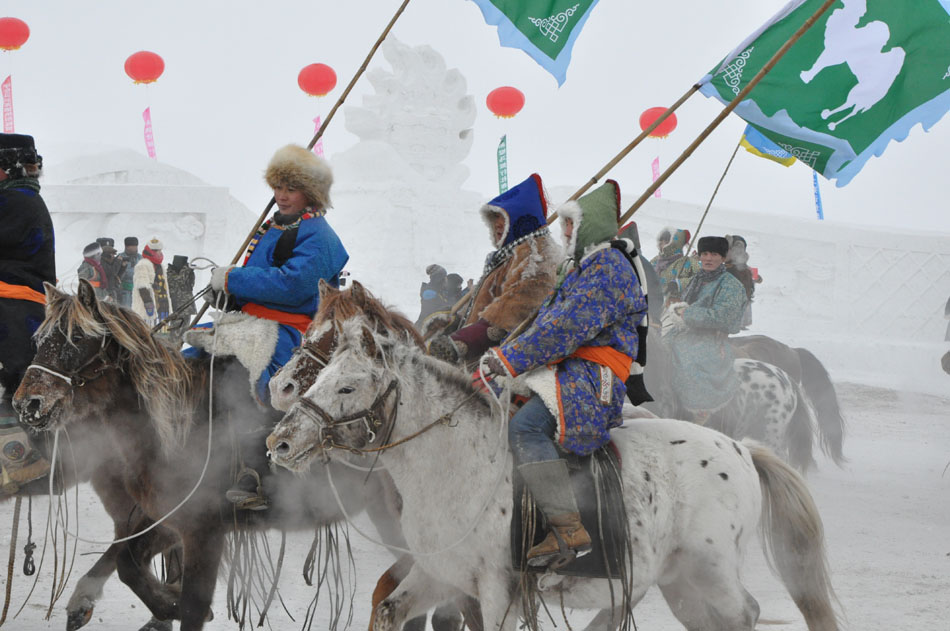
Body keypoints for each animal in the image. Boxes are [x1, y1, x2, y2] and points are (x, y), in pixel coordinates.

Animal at [13, 280, 410, 631]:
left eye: (77, 338)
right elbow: (128, 561)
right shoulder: (168, 519)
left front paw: (172, 605)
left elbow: (191, 605)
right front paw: (164, 603)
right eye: (40, 340)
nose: (26, 403)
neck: (175, 428)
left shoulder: (203, 531)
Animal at [266, 320, 840, 631]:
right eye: (322, 375)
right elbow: (388, 609)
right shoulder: (438, 575)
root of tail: (740, 450)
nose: (281, 442)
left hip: (711, 570)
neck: (454, 464)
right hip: (681, 582)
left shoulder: (499, 589)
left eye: (347, 387)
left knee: (744, 612)